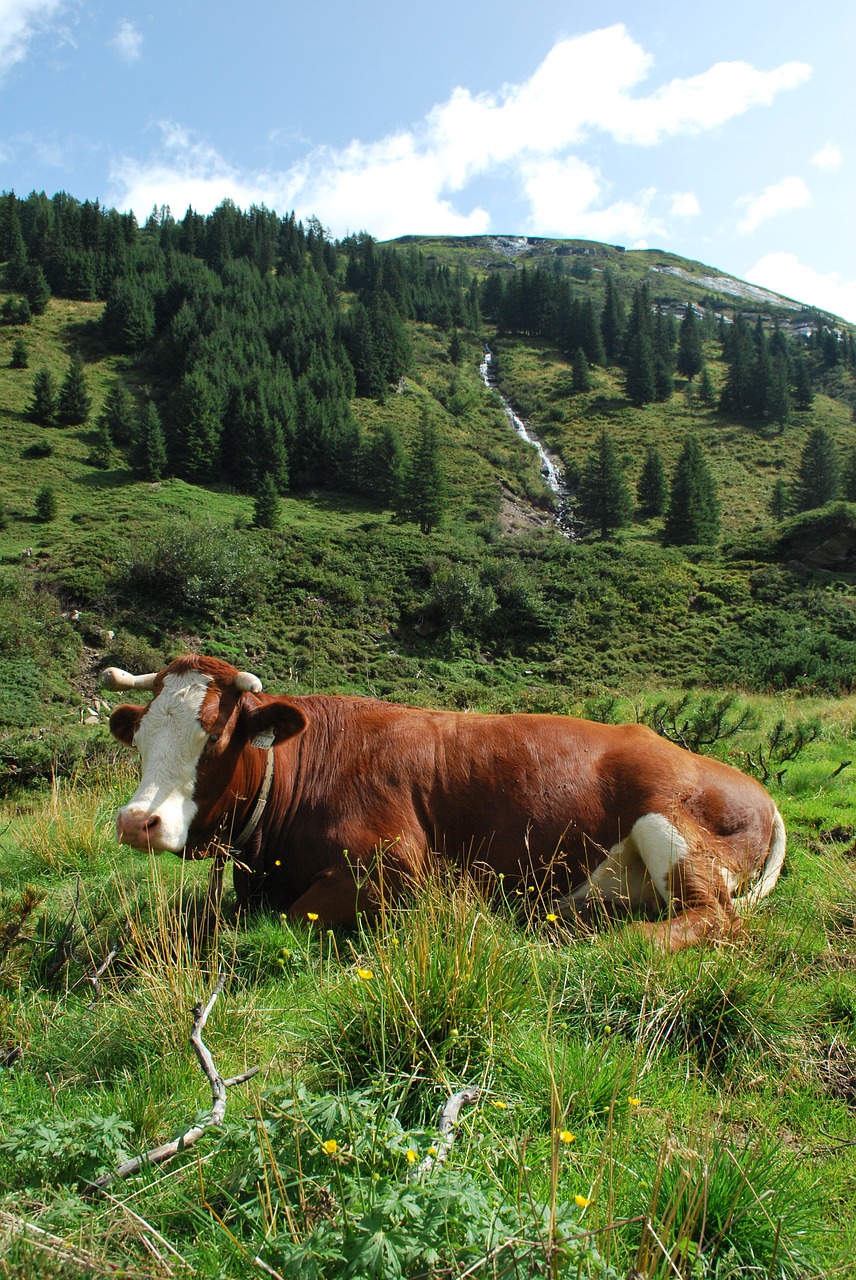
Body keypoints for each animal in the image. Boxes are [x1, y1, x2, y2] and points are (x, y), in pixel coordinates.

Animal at [98, 655, 783, 947]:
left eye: (213, 738)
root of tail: (759, 791)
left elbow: (288, 920)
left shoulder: (398, 866)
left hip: (672, 823)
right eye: (141, 740)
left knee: (710, 918)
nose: (138, 821)